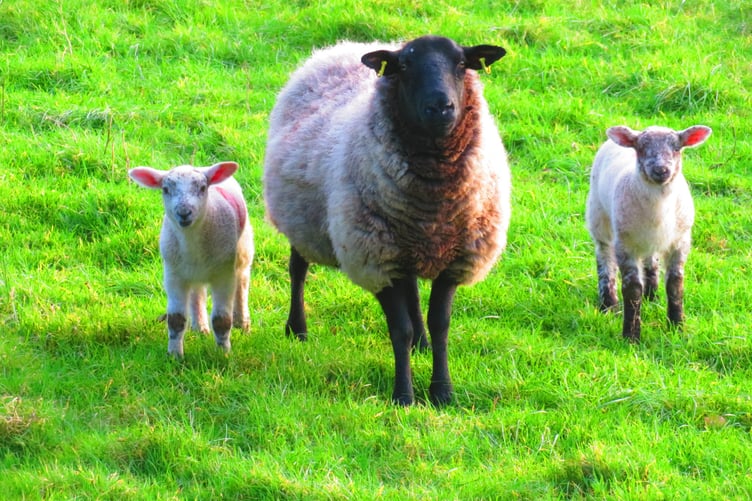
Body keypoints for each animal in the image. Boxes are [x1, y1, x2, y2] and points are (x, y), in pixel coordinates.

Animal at [128, 161, 254, 357]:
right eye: (165, 189)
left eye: (202, 188)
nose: (184, 212)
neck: (192, 243)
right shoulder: (173, 275)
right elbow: (176, 319)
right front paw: (174, 355)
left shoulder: (224, 275)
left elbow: (221, 320)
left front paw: (223, 354)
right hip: (191, 272)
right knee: (197, 291)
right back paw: (200, 328)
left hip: (243, 249)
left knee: (242, 281)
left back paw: (242, 323)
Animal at [263, 35, 510, 405]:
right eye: (405, 67)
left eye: (461, 64)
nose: (440, 107)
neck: (433, 204)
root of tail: (345, 46)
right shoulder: (376, 260)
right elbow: (399, 329)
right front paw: (404, 396)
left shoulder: (454, 259)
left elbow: (440, 323)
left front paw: (442, 391)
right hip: (303, 217)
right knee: (298, 270)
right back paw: (297, 329)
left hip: (402, 246)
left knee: (412, 290)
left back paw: (421, 344)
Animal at [585, 125, 712, 341]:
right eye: (641, 148)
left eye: (677, 148)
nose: (661, 170)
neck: (659, 209)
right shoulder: (625, 245)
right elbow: (632, 289)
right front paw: (631, 336)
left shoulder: (680, 242)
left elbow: (675, 285)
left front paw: (677, 327)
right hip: (598, 216)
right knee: (604, 259)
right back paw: (609, 305)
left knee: (651, 260)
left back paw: (652, 297)